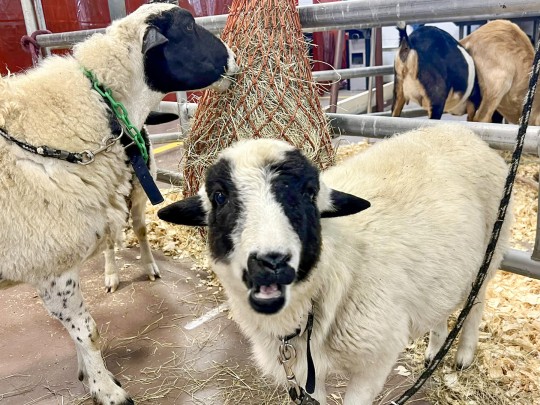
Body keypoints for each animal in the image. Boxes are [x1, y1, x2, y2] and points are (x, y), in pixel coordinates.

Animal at [0, 3, 237, 404]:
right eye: (189, 27)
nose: (235, 58)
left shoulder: (54, 263)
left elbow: (80, 329)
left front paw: (88, 375)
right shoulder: (49, 261)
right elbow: (87, 330)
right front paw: (106, 389)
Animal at [157, 124, 512, 405]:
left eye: (309, 193)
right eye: (219, 196)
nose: (271, 262)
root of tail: (462, 131)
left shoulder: (375, 360)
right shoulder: (305, 373)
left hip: (491, 252)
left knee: (477, 303)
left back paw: (463, 354)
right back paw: (434, 349)